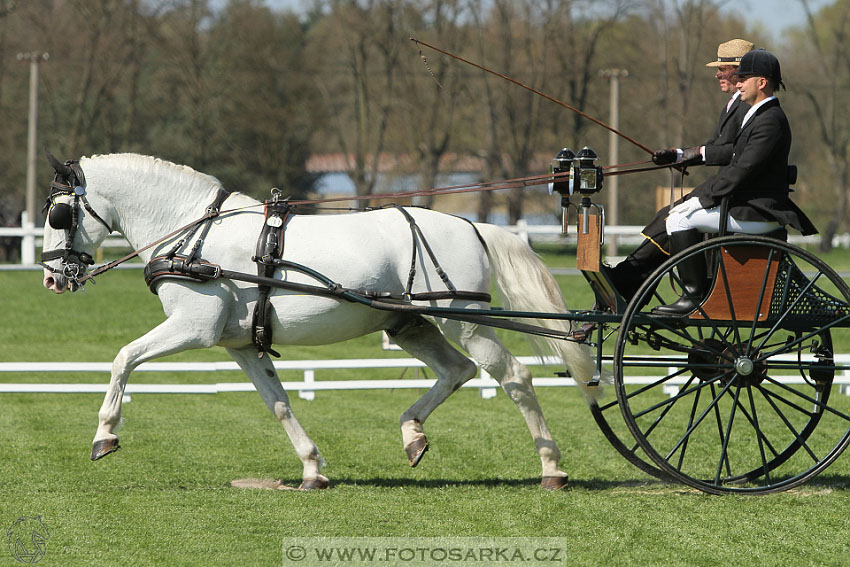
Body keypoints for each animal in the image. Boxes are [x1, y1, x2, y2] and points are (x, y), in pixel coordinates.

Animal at [39, 153, 596, 490]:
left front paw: (105, 435)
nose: (51, 277)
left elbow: (123, 358)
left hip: (466, 320)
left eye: (57, 215)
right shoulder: (241, 345)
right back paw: (412, 434)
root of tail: (471, 224)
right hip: (409, 325)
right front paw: (311, 468)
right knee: (456, 371)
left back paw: (551, 467)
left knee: (514, 377)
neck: (192, 235)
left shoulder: (193, 328)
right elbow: (279, 404)